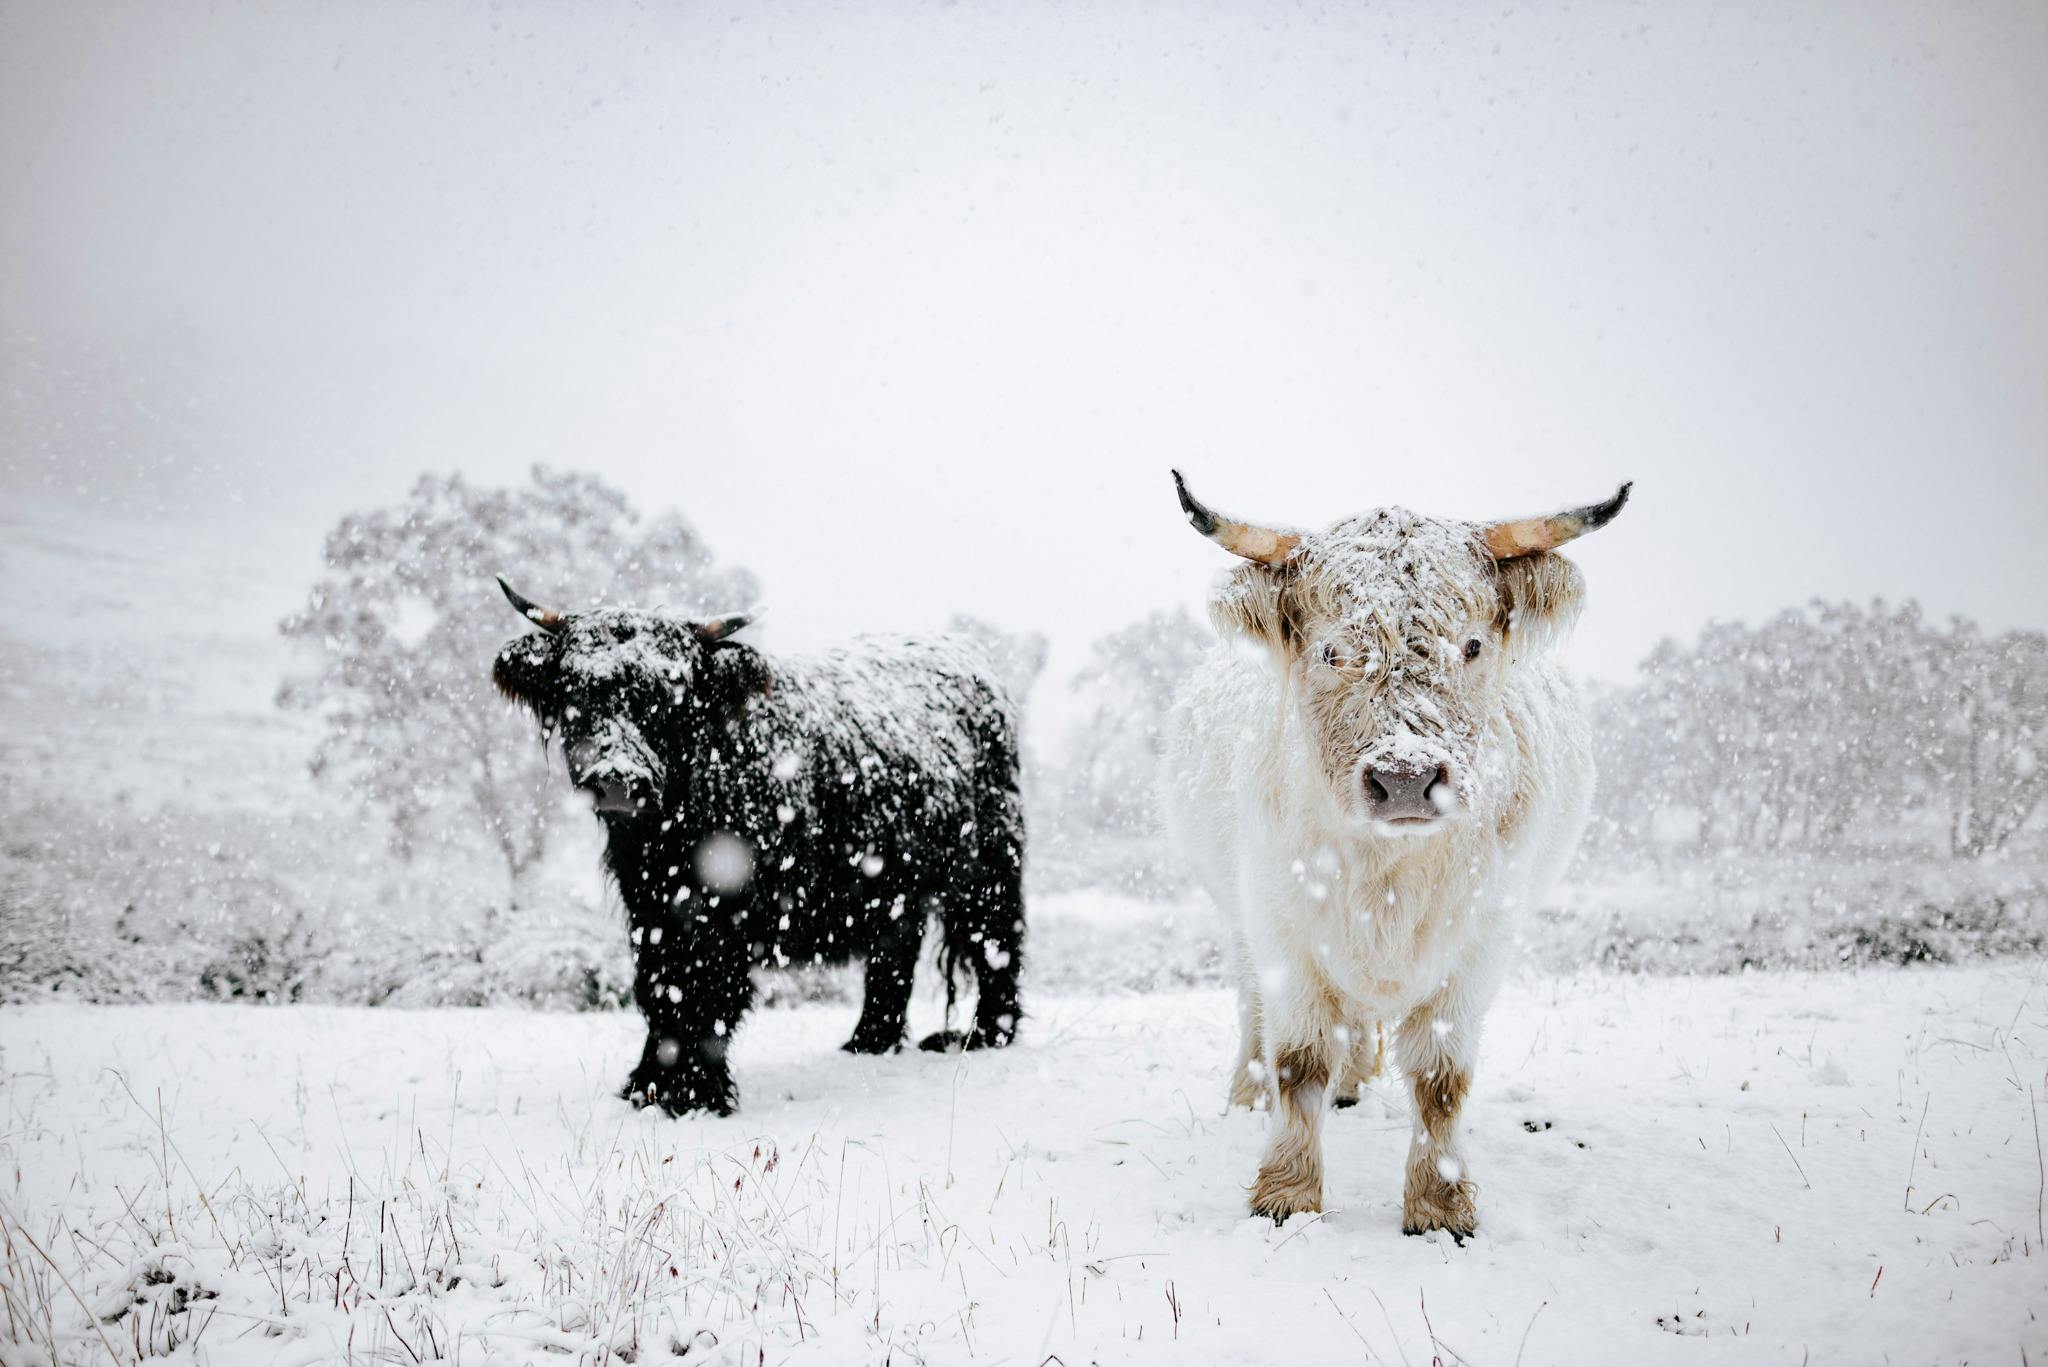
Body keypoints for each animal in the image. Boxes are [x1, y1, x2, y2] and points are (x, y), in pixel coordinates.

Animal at [491, 580, 1026, 1116]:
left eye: (672, 695)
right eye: (575, 691)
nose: (619, 781)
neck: (667, 838)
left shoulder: (727, 910)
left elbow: (708, 992)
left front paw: (696, 1093)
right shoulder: (652, 909)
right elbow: (662, 989)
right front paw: (648, 1087)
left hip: (989, 866)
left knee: (996, 943)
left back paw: (986, 1036)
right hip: (896, 887)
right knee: (895, 955)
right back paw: (868, 1043)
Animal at [1158, 472, 1630, 1234]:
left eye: (1472, 645)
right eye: (1330, 652)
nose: (1405, 777)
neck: (1388, 875)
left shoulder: (1479, 943)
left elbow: (1441, 1077)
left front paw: (1440, 1204)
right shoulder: (1282, 927)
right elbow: (1297, 1058)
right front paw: (1286, 1192)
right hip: (1239, 921)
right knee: (1257, 1013)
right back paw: (1250, 1095)